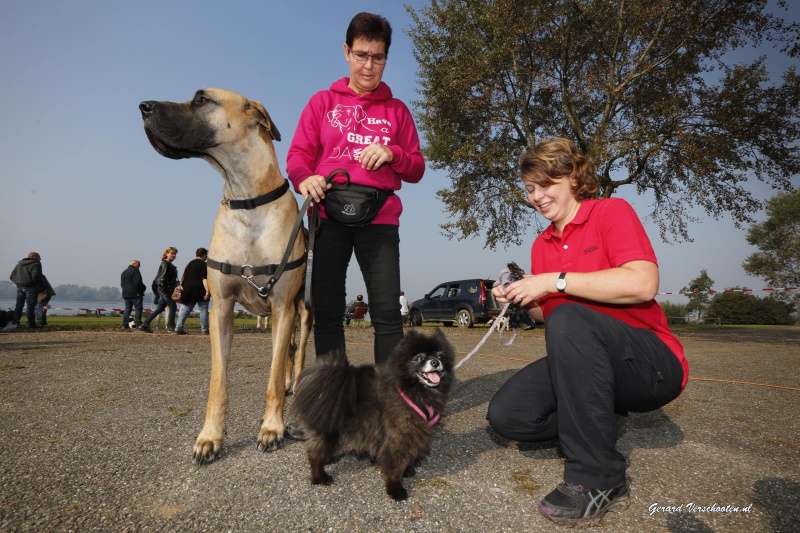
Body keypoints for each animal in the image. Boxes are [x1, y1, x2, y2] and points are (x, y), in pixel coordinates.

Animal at [290, 328, 454, 498]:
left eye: (441, 356)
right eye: (419, 357)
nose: (435, 362)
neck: (412, 390)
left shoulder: (413, 433)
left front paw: (408, 471)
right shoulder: (399, 436)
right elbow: (395, 464)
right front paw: (395, 488)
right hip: (327, 428)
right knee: (314, 454)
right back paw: (320, 476)